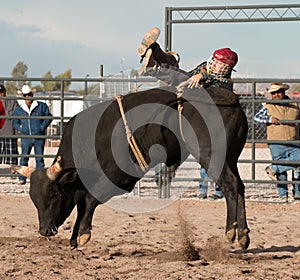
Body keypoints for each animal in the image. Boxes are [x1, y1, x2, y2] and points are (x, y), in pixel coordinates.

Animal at [12, 86, 251, 249]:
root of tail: (229, 97)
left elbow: (90, 200)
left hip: (212, 155)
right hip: (230, 157)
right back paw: (243, 234)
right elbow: (81, 203)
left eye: (53, 196)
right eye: (34, 199)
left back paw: (231, 230)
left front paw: (83, 233)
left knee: (230, 185)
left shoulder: (117, 175)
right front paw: (74, 237)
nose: (44, 230)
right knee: (239, 186)